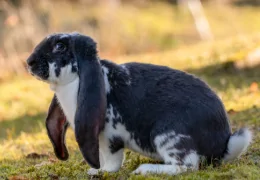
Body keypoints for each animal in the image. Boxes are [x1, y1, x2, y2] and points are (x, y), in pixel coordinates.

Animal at [26, 32, 252, 174]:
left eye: (60, 46)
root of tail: (222, 144)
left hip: (167, 135)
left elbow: (112, 161)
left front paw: (98, 172)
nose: (29, 62)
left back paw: (146, 169)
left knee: (187, 166)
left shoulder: (109, 137)